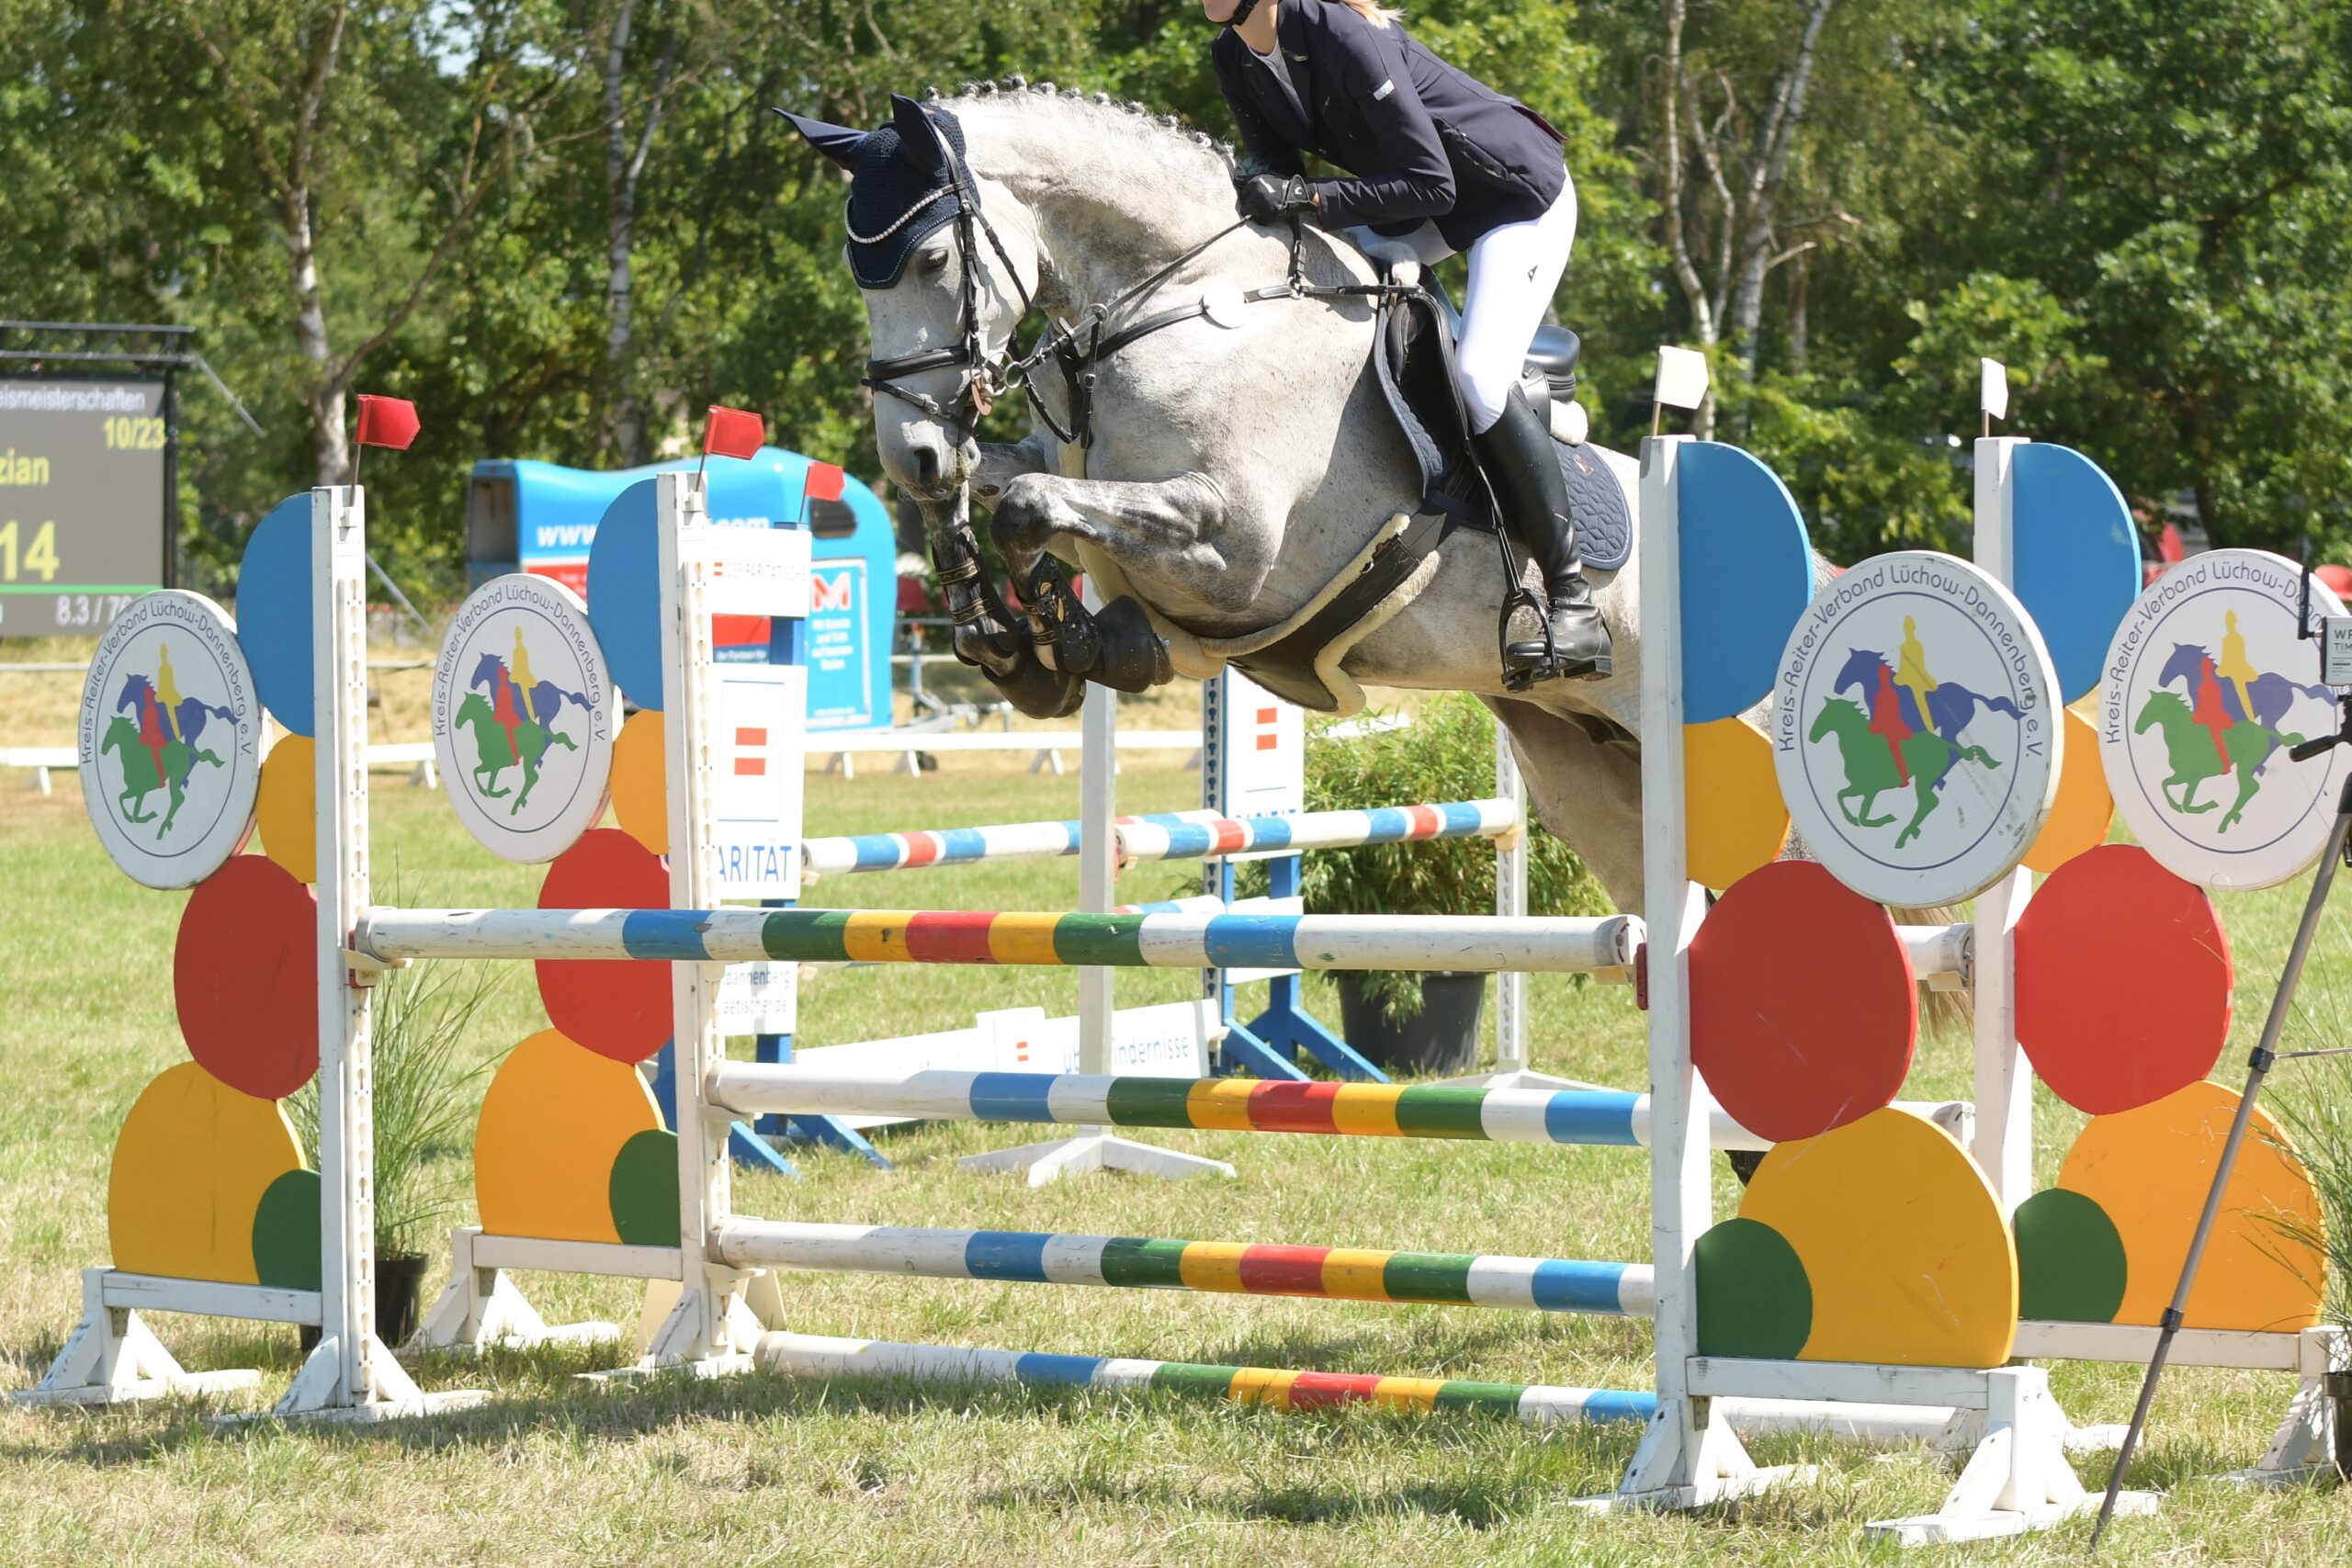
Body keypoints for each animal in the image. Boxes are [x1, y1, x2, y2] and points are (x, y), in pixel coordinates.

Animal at [792, 84, 1671, 911]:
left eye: (934, 259)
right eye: (857, 274)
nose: (910, 451)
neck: (1184, 299)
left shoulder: (1236, 542)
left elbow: (1029, 505)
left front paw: (1069, 634)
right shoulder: (1071, 468)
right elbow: (996, 483)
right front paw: (996, 633)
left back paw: (1568, 624)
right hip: (1581, 768)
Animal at [1809, 698, 1999, 850]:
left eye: (1828, 715)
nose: (1812, 737)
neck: (1861, 744)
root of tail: (1944, 743)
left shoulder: (1870, 789)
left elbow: (1862, 815)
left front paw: (1885, 819)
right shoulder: (1860, 787)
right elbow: (1841, 795)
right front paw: (1855, 819)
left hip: (1923, 778)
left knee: (1929, 802)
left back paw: (1904, 835)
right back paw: (1910, 832)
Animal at [2134, 689, 2300, 833]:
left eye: (2152, 707)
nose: (2137, 729)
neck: (2185, 734)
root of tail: (2264, 731)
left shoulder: (2193, 777)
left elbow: (2185, 802)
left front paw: (2207, 805)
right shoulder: (2184, 776)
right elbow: (2165, 784)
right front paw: (2179, 806)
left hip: (2245, 765)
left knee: (2250, 787)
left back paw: (2227, 820)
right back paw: (2232, 817)